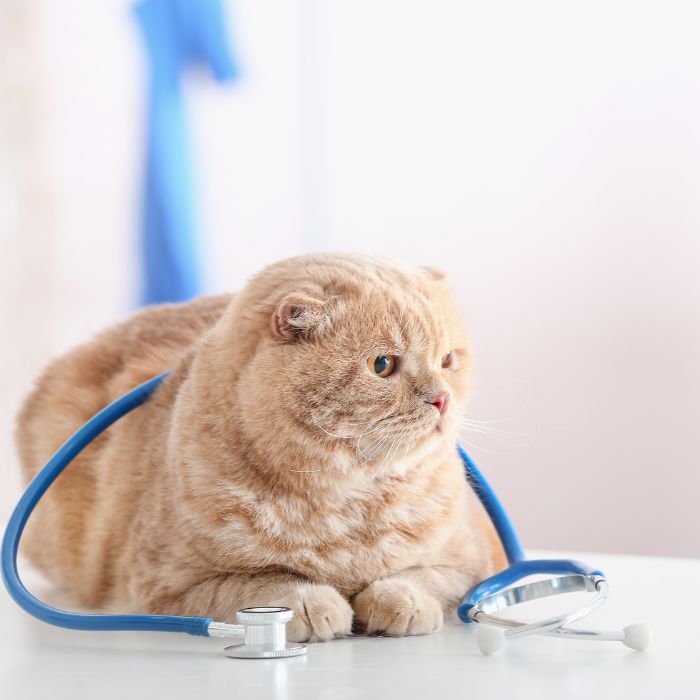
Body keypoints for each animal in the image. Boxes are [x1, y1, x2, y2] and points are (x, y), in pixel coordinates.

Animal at [16, 253, 506, 640]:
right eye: (382, 365)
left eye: (448, 360)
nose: (441, 399)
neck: (346, 505)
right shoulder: (168, 587)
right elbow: (259, 584)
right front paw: (312, 603)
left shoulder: (472, 563)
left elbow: (423, 578)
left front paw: (400, 599)